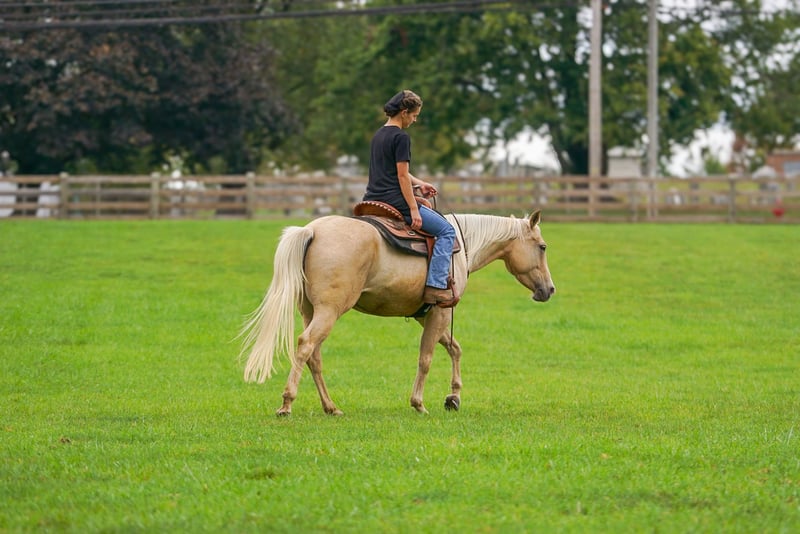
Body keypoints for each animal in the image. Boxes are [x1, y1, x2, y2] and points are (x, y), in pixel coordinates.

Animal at [240, 209, 555, 415]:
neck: (461, 246)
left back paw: (330, 407)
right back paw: (287, 404)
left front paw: (453, 397)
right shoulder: (440, 313)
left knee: (313, 356)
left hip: (310, 311)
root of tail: (312, 230)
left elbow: (454, 349)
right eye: (542, 246)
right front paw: (419, 403)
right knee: (306, 346)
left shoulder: (426, 314)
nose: (549, 290)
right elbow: (426, 358)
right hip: (329, 311)